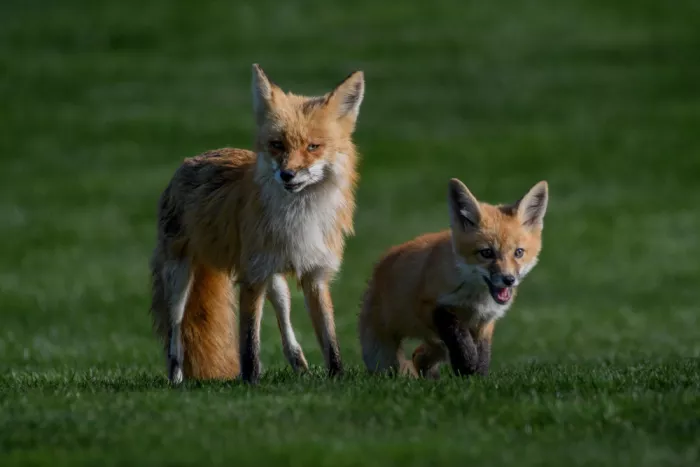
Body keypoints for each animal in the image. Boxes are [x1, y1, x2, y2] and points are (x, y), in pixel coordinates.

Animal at [150, 64, 365, 385]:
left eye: (313, 146)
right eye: (277, 145)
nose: (287, 175)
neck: (299, 218)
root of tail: (192, 159)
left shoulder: (315, 273)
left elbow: (330, 338)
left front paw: (337, 378)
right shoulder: (252, 276)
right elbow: (249, 342)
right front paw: (250, 383)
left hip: (277, 281)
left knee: (284, 318)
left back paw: (299, 363)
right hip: (179, 278)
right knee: (176, 329)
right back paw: (176, 378)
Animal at [359, 178, 549, 378]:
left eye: (518, 252)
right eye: (486, 253)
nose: (508, 279)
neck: (476, 299)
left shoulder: (486, 321)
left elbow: (483, 353)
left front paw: (477, 377)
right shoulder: (428, 306)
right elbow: (457, 333)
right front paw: (466, 365)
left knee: (420, 355)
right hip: (383, 357)